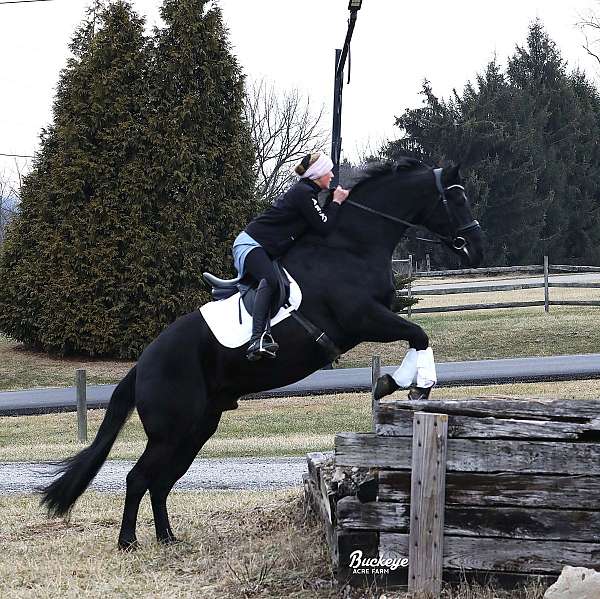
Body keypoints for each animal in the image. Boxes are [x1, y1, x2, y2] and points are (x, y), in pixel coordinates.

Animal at [41, 158, 482, 548]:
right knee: (138, 478)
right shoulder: (364, 318)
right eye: (457, 197)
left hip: (198, 428)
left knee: (161, 482)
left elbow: (417, 335)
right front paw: (407, 383)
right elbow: (419, 334)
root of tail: (142, 365)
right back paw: (128, 542)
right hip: (171, 430)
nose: (475, 246)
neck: (351, 246)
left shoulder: (374, 318)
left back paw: (167, 538)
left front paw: (404, 384)